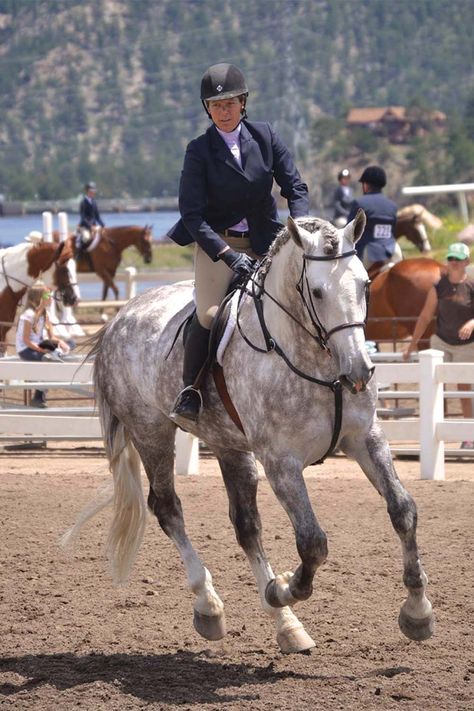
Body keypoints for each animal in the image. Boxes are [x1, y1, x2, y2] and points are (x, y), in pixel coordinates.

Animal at [64, 213, 436, 656]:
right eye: (317, 291)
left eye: (365, 284)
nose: (359, 372)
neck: (320, 365)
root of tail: (119, 318)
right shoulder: (281, 462)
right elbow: (312, 542)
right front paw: (284, 588)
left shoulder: (365, 438)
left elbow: (403, 510)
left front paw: (417, 611)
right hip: (151, 431)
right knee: (167, 508)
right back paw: (211, 606)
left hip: (228, 445)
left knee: (246, 526)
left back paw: (287, 626)